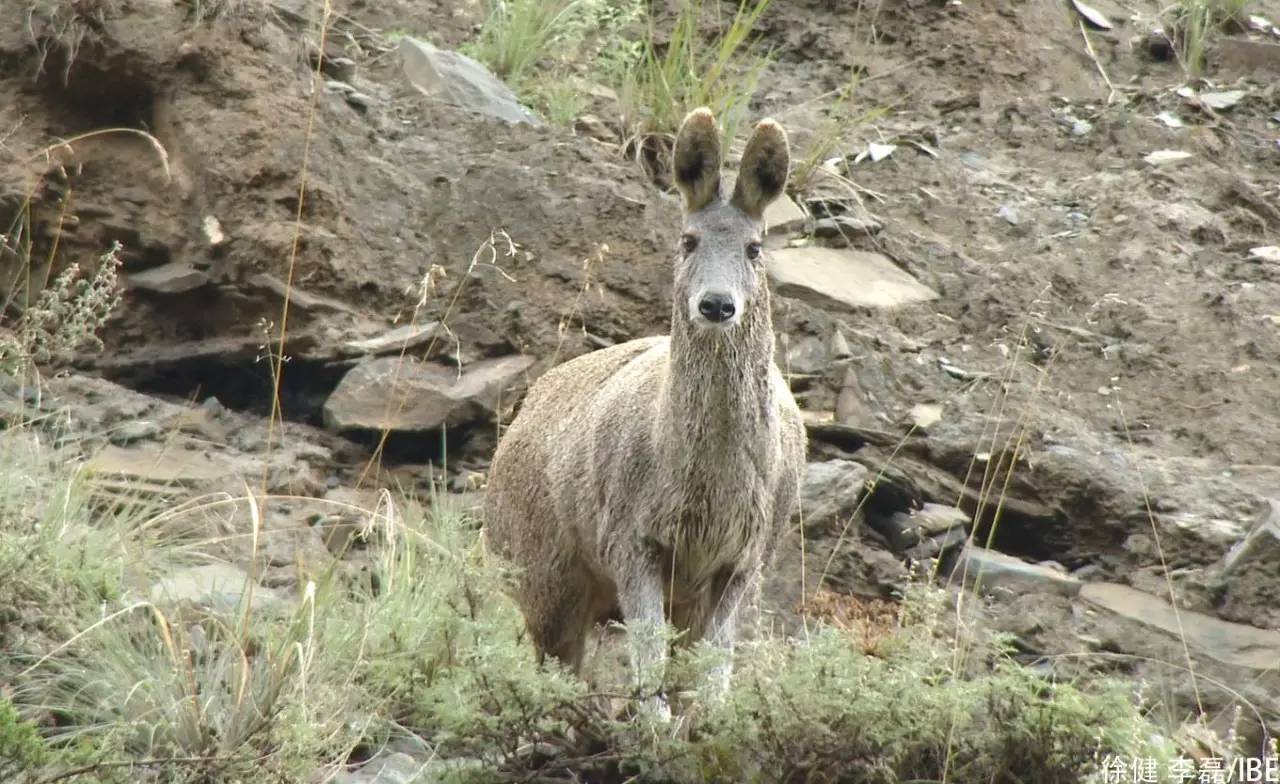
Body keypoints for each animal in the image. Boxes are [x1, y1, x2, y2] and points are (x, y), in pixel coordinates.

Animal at [483, 106, 803, 707]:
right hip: (542, 576)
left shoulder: (741, 562)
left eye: (755, 248)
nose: (717, 304)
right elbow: (649, 667)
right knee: (557, 665)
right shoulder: (632, 541)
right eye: (688, 239)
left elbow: (713, 675)